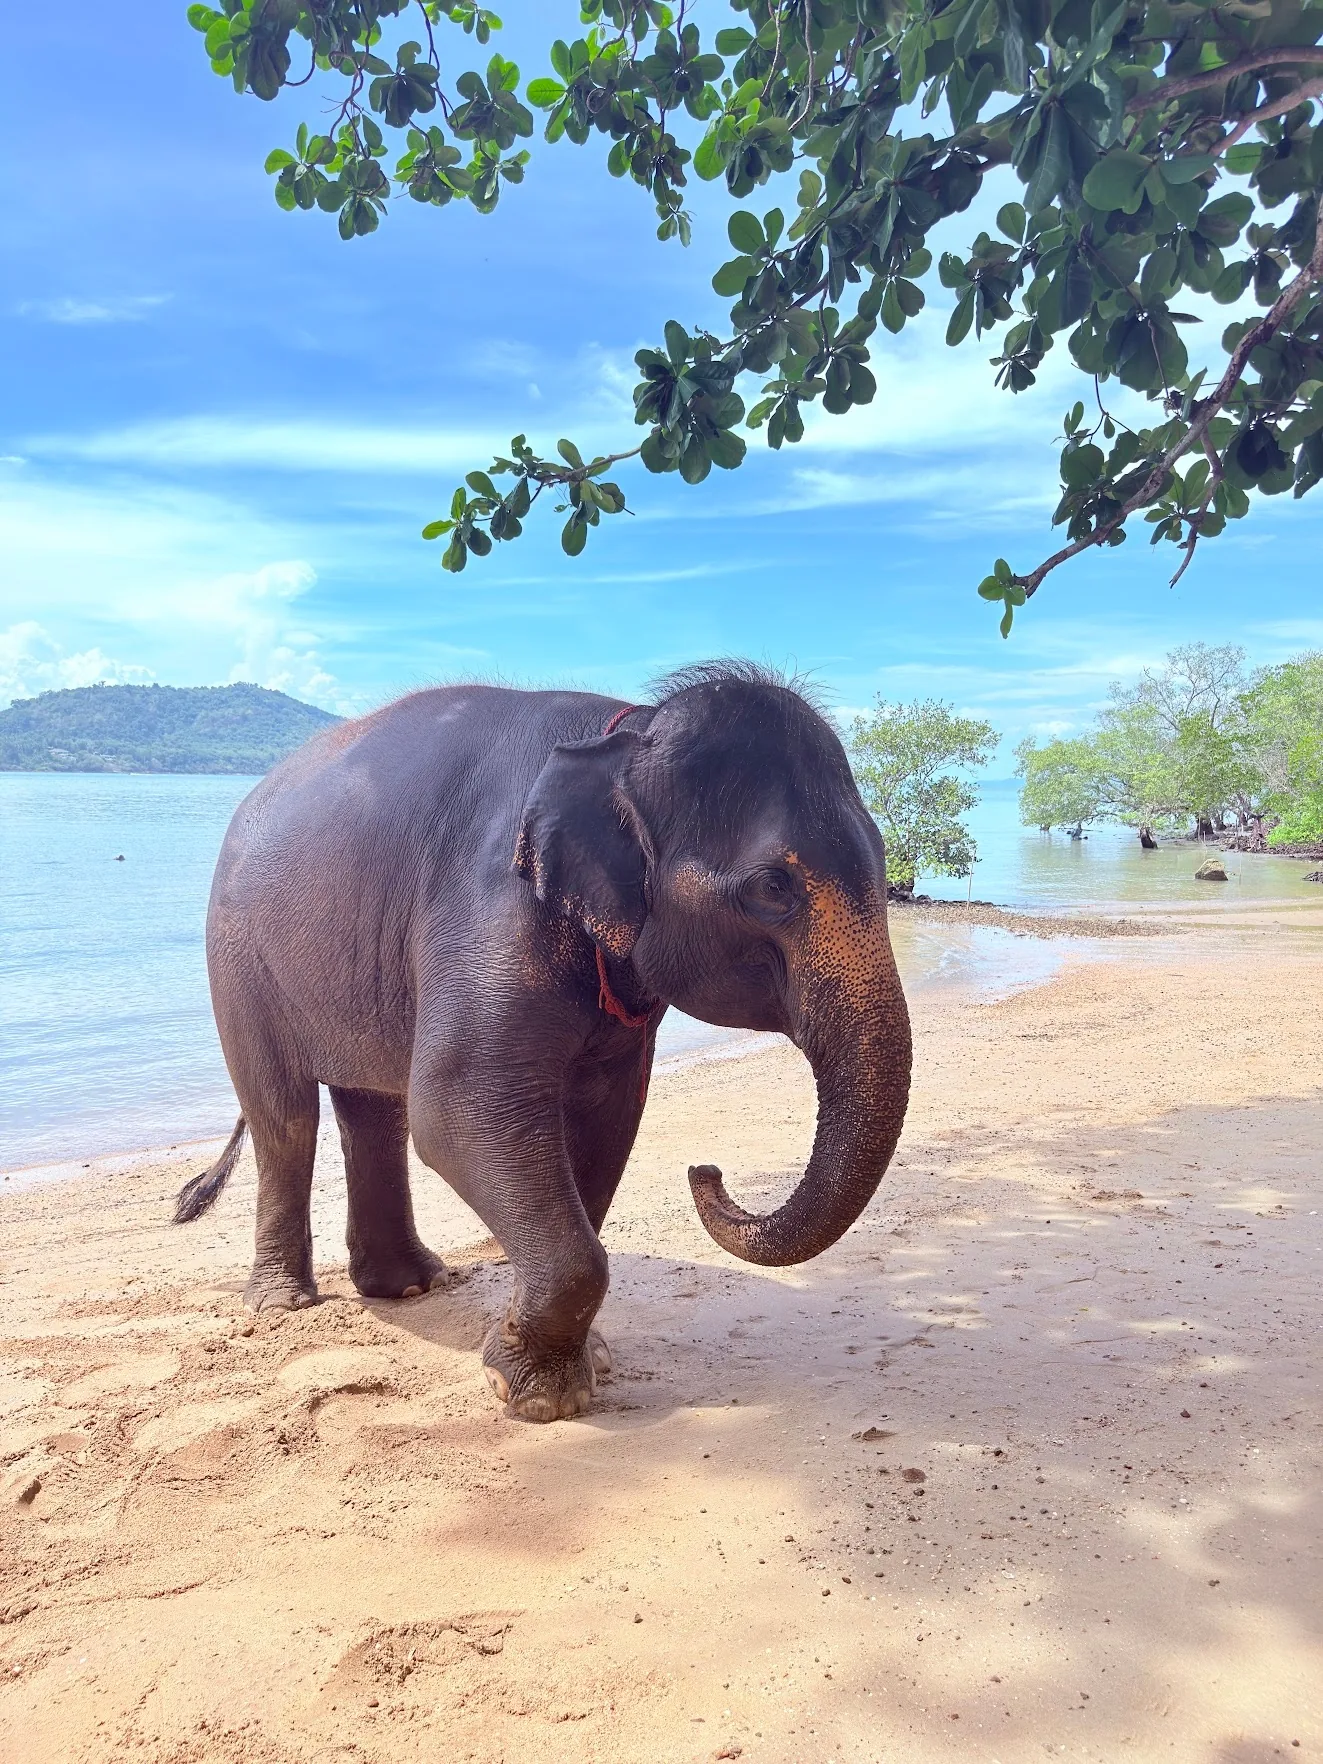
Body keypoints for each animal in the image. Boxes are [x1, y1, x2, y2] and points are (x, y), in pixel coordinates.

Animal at [175, 661, 912, 1421]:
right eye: (772, 887)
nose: (705, 1172)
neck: (629, 731)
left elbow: (604, 1118)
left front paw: (573, 1366)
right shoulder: (492, 902)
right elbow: (455, 1110)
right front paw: (532, 1397)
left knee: (373, 1111)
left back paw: (409, 1285)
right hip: (235, 955)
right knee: (285, 1115)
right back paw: (284, 1305)